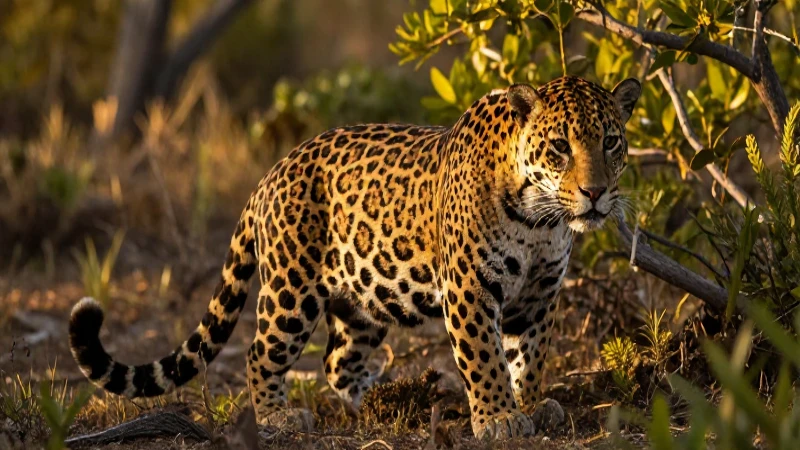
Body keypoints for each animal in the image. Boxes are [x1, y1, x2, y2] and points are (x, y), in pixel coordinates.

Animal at [69, 75, 641, 440]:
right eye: (560, 147)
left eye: (612, 142)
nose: (594, 194)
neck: (541, 220)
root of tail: (270, 174)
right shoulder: (471, 289)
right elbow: (486, 358)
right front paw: (499, 418)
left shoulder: (541, 293)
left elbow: (532, 356)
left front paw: (533, 404)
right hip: (290, 292)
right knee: (260, 353)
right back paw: (278, 418)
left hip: (363, 300)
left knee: (337, 361)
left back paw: (387, 400)